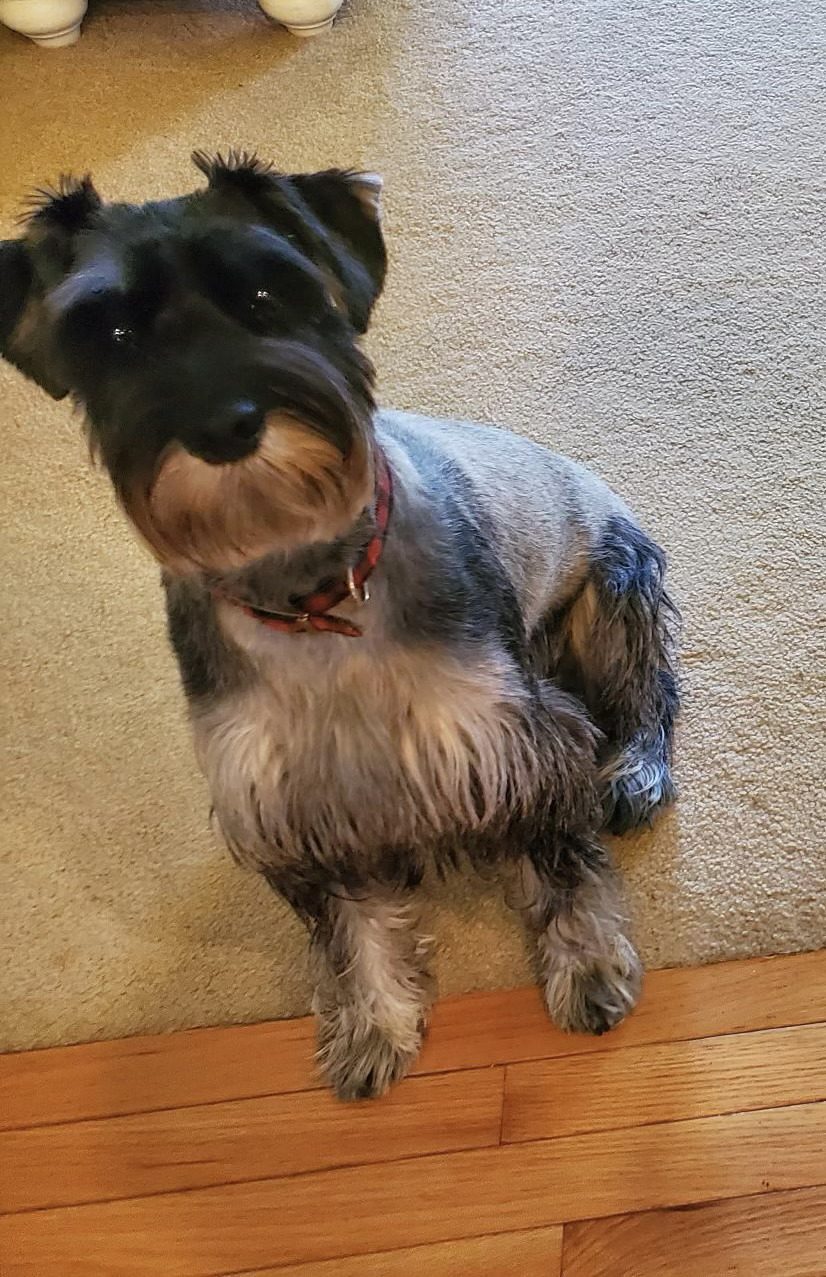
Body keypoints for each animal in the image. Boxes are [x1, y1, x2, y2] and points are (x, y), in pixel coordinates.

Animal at [0, 157, 684, 1098]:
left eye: (266, 290)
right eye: (113, 334)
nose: (224, 425)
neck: (314, 601)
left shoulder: (520, 742)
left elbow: (559, 862)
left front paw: (586, 965)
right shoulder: (289, 807)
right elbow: (350, 927)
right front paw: (371, 1022)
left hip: (612, 595)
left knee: (650, 696)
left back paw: (637, 771)